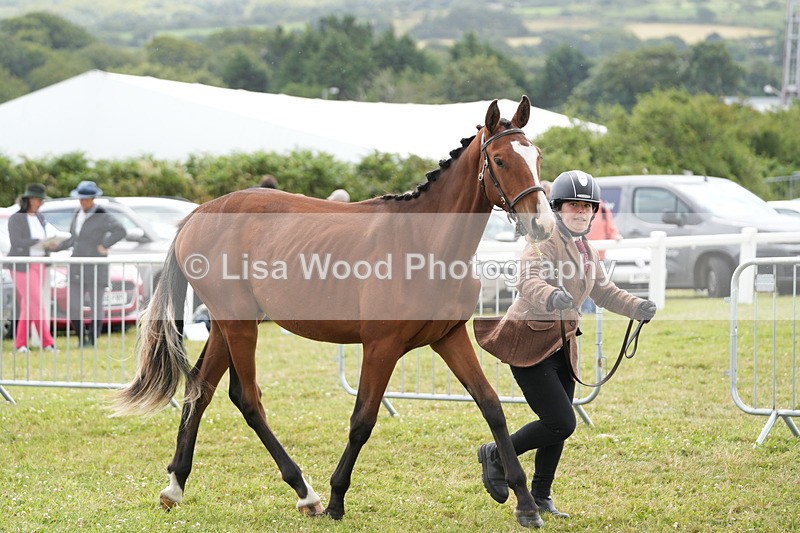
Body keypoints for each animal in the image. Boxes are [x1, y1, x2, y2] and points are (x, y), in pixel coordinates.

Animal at [114, 96, 556, 528]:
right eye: (500, 160)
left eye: (536, 156)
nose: (543, 224)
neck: (425, 242)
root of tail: (197, 215)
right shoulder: (381, 346)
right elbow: (362, 420)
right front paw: (336, 500)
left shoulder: (449, 337)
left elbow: (491, 406)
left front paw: (524, 503)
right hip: (239, 325)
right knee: (247, 398)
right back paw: (304, 493)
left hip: (228, 325)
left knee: (200, 388)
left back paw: (175, 486)